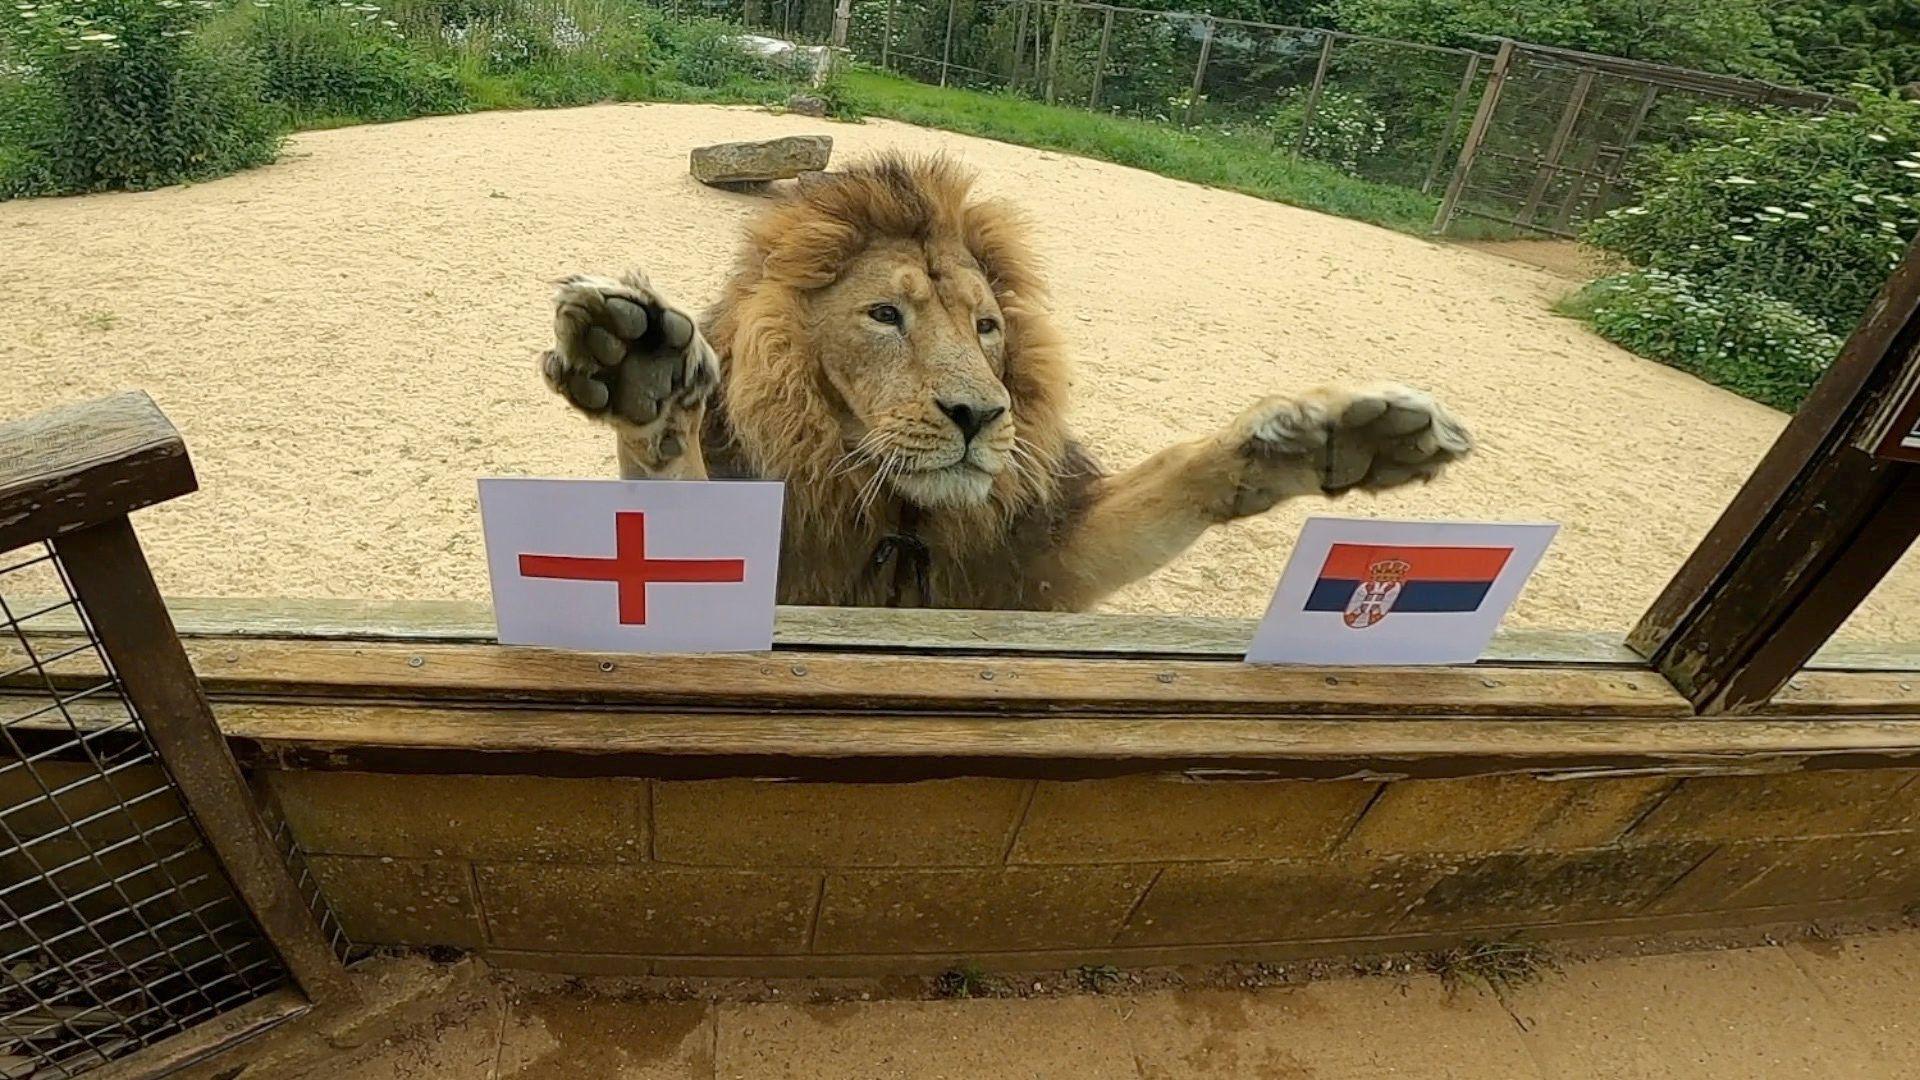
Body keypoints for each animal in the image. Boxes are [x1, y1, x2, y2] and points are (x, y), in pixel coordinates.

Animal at [541, 152, 1466, 611]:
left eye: (986, 326)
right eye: (885, 316)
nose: (980, 416)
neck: (898, 517)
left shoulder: (1029, 564)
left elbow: (1175, 476)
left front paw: (1334, 433)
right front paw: (647, 371)